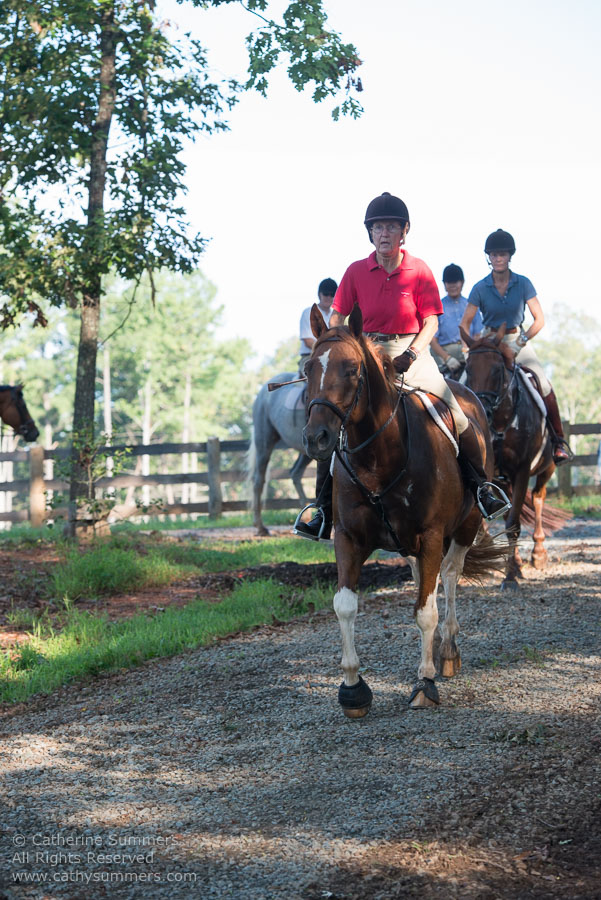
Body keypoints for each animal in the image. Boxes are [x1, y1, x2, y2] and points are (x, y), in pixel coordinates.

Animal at [302, 306, 504, 720]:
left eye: (351, 369)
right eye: (310, 367)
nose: (317, 438)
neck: (377, 458)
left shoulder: (431, 535)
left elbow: (426, 611)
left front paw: (424, 683)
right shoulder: (348, 538)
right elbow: (345, 606)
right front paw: (353, 689)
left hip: (465, 525)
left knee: (449, 576)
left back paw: (448, 650)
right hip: (409, 545)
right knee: (426, 579)